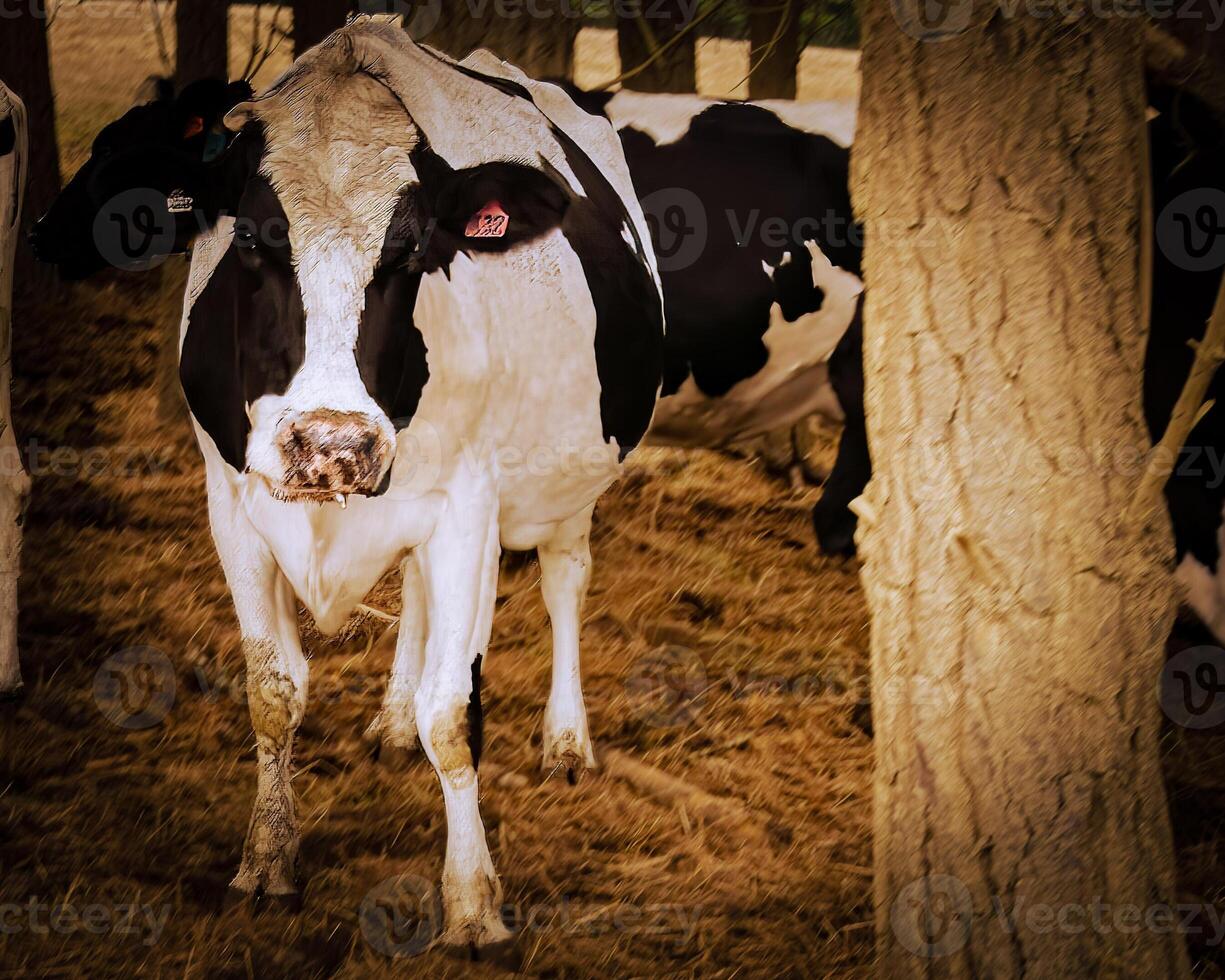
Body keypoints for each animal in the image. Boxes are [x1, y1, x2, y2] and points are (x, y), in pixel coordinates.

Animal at [33, 17, 666, 950]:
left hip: (571, 475)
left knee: (563, 581)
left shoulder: (468, 509)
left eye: (412, 249)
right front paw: (267, 862)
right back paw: (393, 722)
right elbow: (273, 692)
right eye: (251, 239)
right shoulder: (232, 504)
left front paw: (472, 902)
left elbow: (455, 714)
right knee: (417, 599)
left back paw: (564, 741)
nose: (332, 443)